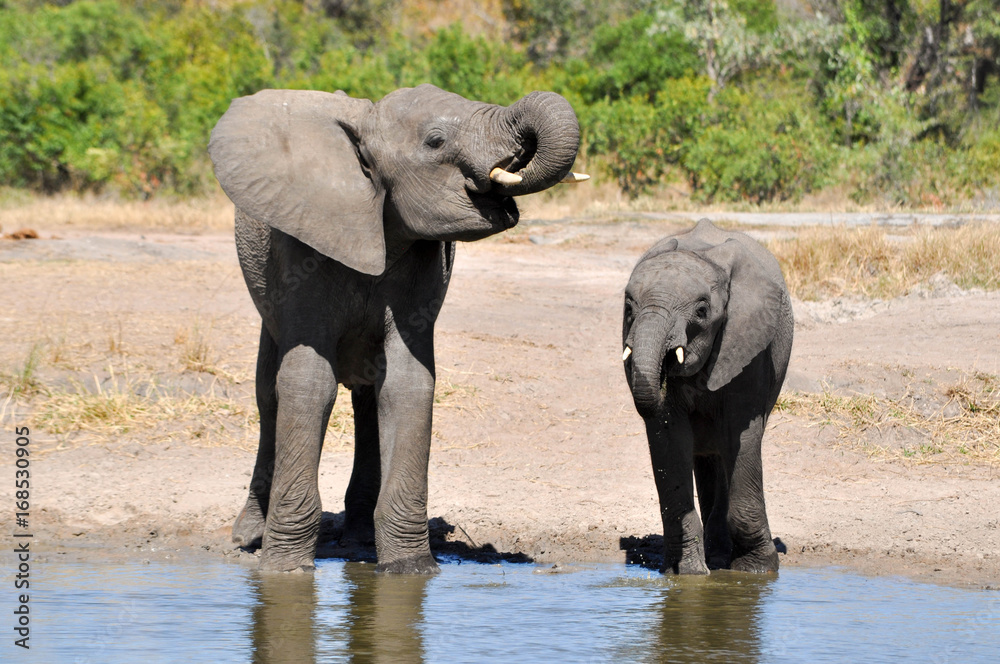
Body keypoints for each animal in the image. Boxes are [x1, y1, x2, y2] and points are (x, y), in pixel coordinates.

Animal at [208, 84, 584, 573]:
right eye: (435, 141)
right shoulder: (299, 250)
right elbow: (308, 382)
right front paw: (285, 571)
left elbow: (408, 384)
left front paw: (409, 570)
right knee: (268, 392)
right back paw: (250, 535)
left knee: (369, 395)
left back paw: (361, 539)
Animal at [621, 220, 793, 575]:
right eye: (629, 308)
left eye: (701, 311)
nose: (661, 375)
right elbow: (669, 437)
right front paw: (684, 574)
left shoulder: (749, 345)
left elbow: (741, 433)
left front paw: (756, 570)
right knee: (707, 457)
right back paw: (714, 557)